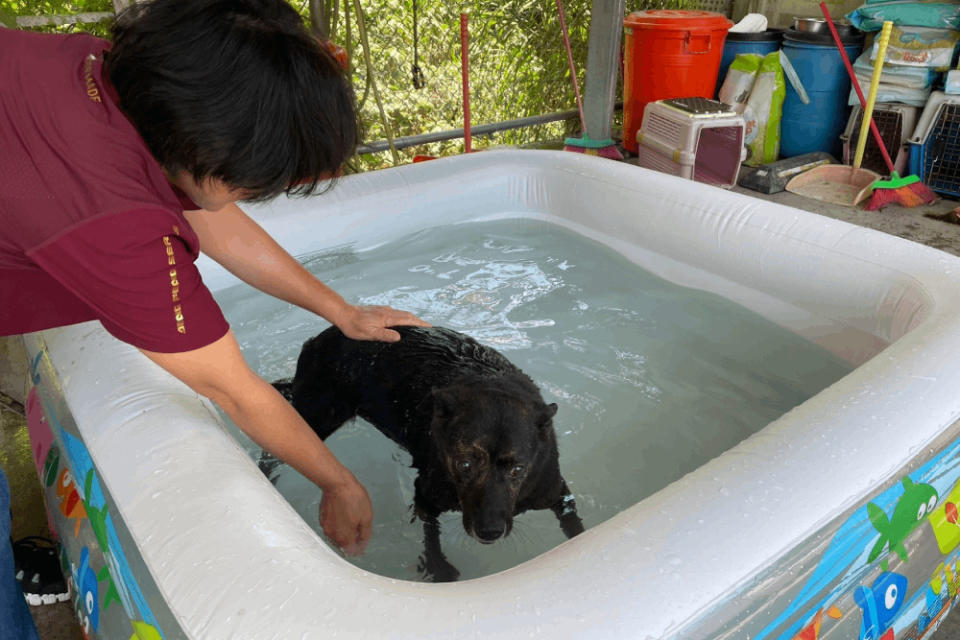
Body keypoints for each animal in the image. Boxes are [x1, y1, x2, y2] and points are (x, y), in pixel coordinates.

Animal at [270, 324, 584, 580]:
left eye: (518, 469)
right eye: (464, 464)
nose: (489, 531)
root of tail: (316, 340)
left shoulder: (555, 491)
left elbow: (573, 523)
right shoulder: (425, 495)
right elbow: (431, 534)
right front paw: (438, 567)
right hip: (314, 418)